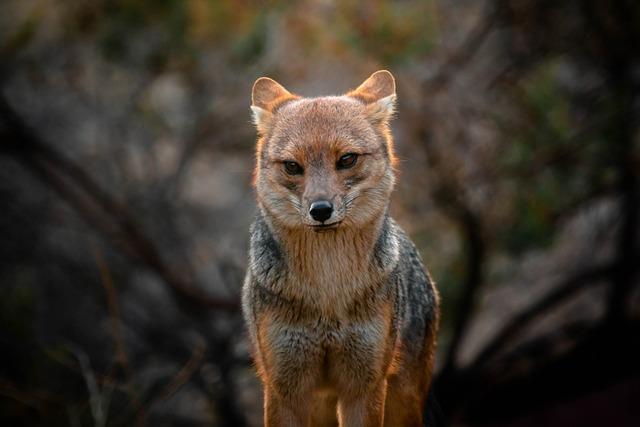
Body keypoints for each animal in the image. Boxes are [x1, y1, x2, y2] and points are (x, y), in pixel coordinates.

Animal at [241, 71, 440, 427]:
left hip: (402, 401)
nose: (320, 210)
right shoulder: (284, 390)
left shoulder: (364, 387)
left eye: (346, 159)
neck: (328, 290)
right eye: (292, 166)